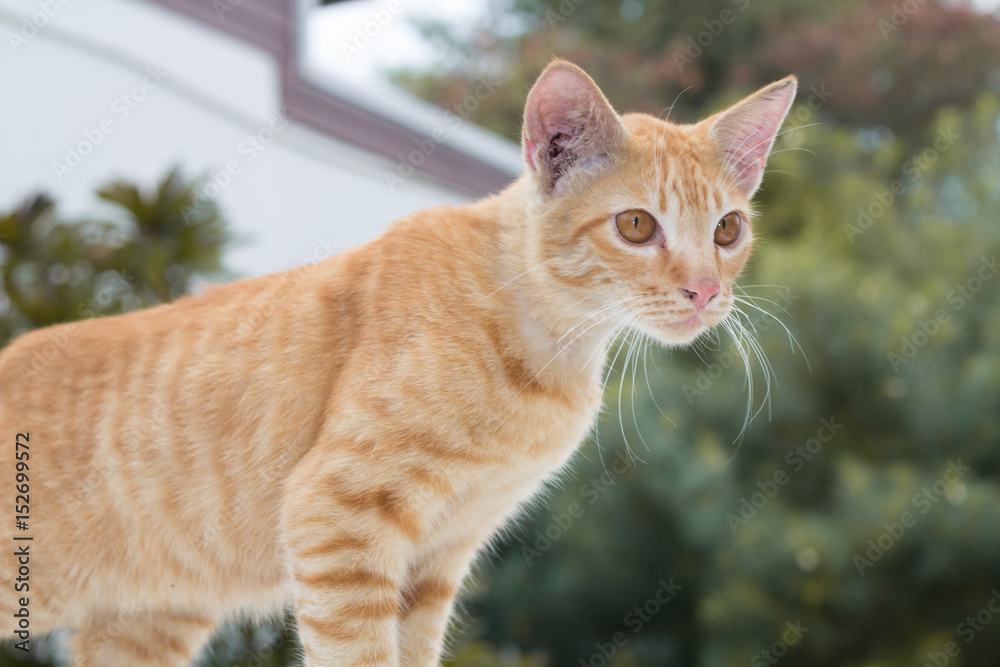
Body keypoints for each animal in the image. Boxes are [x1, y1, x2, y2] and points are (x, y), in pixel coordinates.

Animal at [1, 60, 796, 664]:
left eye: (728, 229)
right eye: (635, 225)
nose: (705, 291)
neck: (543, 348)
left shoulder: (437, 559)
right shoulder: (336, 517)